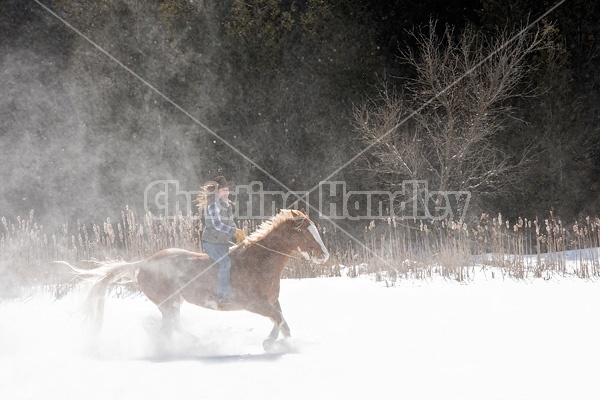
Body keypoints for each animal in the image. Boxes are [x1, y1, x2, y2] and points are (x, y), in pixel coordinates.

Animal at [75, 208, 330, 352]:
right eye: (305, 232)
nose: (324, 255)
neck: (258, 262)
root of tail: (143, 263)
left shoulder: (272, 301)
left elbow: (283, 323)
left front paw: (283, 344)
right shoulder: (254, 304)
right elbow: (278, 319)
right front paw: (269, 344)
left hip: (173, 303)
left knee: (172, 327)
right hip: (168, 303)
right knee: (171, 327)